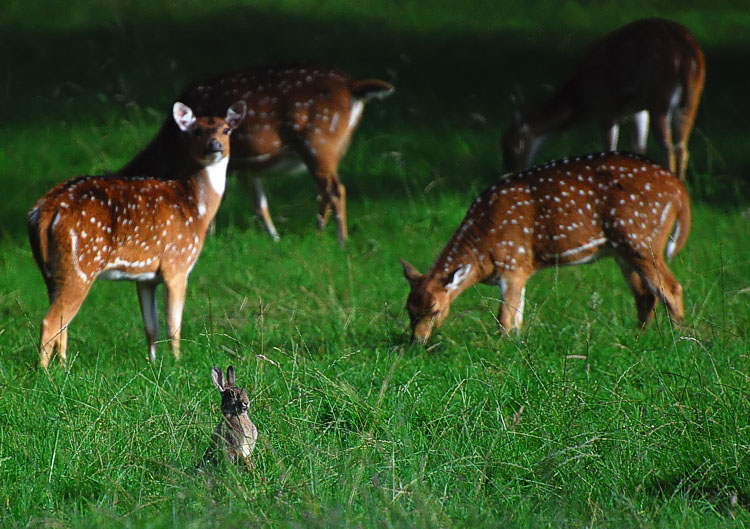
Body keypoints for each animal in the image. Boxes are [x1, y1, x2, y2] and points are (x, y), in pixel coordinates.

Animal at [27, 101, 247, 370]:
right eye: (196, 131)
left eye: (226, 130)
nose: (214, 146)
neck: (196, 208)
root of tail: (45, 209)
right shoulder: (177, 263)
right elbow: (174, 326)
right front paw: (177, 363)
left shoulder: (145, 277)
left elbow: (151, 327)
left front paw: (153, 363)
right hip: (81, 265)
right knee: (51, 322)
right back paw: (45, 373)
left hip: (50, 271)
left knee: (61, 323)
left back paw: (63, 367)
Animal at [117, 65, 396, 243]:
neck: (172, 149)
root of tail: (353, 86)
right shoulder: (247, 168)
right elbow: (260, 204)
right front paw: (274, 237)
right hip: (328, 147)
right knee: (324, 191)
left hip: (319, 140)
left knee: (335, 189)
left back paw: (337, 240)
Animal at [406, 151, 692, 344]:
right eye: (408, 309)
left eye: (434, 309)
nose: (417, 341)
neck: (483, 251)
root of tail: (679, 190)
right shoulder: (521, 269)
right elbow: (517, 317)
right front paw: (516, 344)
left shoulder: (513, 262)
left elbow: (504, 318)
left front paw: (501, 347)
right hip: (623, 250)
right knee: (646, 295)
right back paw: (639, 337)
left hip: (641, 237)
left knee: (671, 288)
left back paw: (678, 340)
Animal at [502, 18, 708, 180]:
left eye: (510, 146)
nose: (509, 173)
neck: (581, 99)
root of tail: (686, 52)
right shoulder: (637, 111)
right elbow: (638, 149)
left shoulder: (605, 107)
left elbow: (609, 151)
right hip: (691, 98)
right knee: (682, 147)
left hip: (660, 96)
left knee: (668, 148)